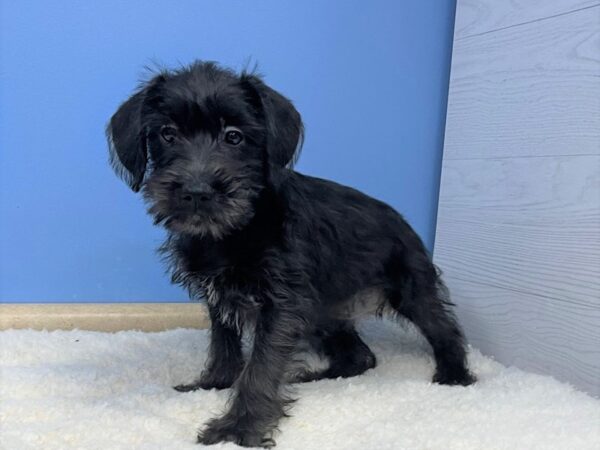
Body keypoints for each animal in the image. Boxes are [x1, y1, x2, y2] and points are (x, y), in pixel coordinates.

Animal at [106, 61, 474, 448]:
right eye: (167, 134)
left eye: (234, 136)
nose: (197, 191)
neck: (236, 230)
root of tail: (402, 220)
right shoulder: (219, 298)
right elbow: (224, 346)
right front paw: (214, 384)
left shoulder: (281, 305)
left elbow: (261, 366)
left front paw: (239, 427)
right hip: (324, 315)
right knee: (361, 357)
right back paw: (311, 378)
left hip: (410, 290)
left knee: (445, 329)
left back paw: (455, 376)